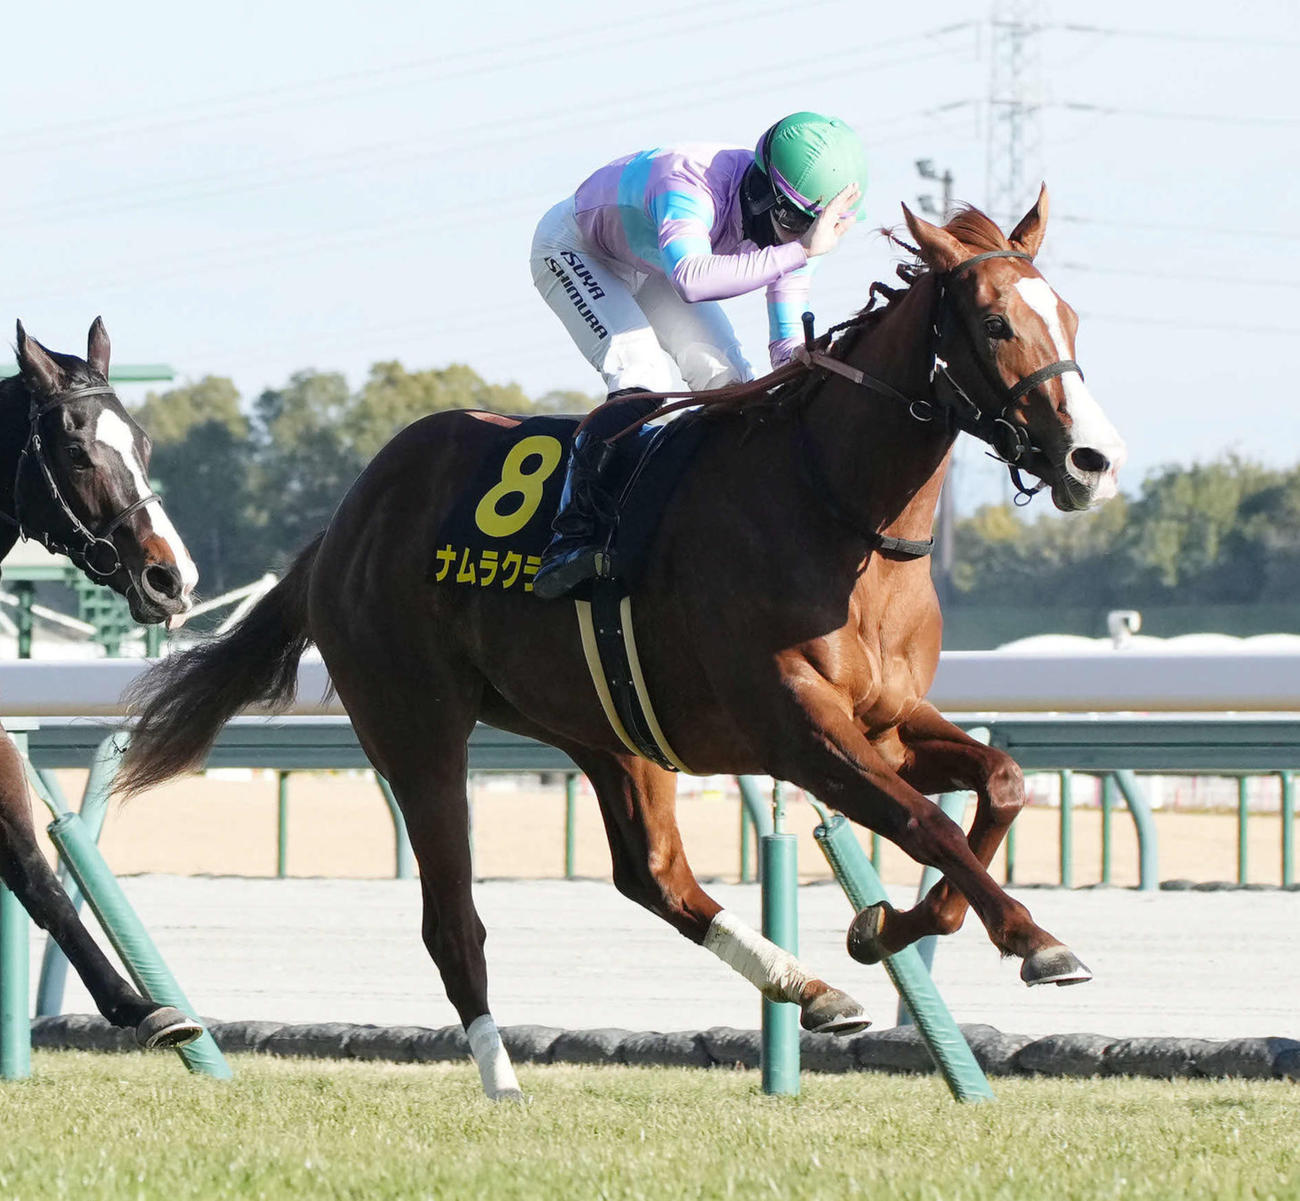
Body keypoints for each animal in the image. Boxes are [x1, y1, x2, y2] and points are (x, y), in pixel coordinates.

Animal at [120, 189, 1126, 1100]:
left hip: (607, 729)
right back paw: (502, 1080)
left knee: (656, 876)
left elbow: (1001, 782)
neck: (839, 511)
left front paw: (880, 926)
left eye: (1070, 316)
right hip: (416, 727)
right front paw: (1036, 940)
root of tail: (344, 522)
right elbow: (926, 822)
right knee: (454, 922)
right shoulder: (800, 729)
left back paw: (812, 987)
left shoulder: (885, 720)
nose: (1093, 459)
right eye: (994, 322)